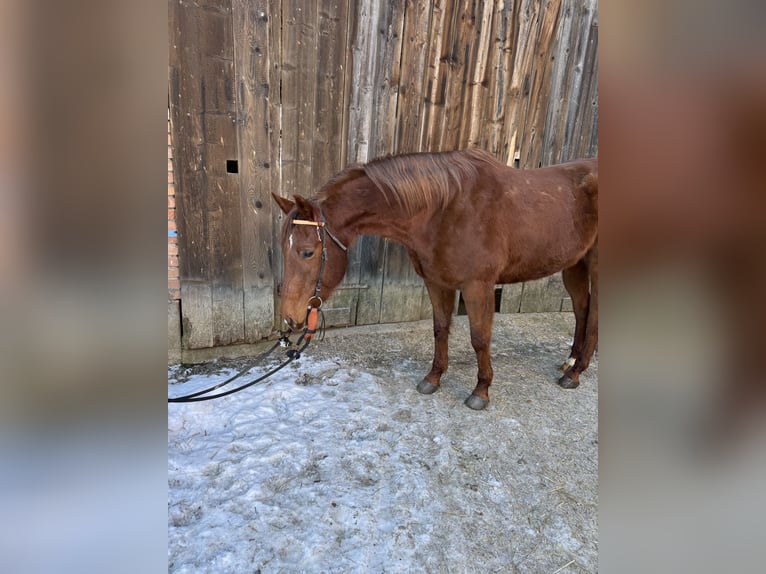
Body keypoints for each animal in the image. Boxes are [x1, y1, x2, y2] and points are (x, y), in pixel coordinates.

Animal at [272, 148, 598, 410]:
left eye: (307, 252)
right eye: (283, 249)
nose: (289, 317)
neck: (445, 209)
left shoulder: (478, 286)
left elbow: (480, 338)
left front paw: (481, 391)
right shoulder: (436, 282)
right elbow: (440, 329)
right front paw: (433, 378)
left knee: (592, 317)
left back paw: (575, 373)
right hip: (574, 266)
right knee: (581, 310)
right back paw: (570, 361)